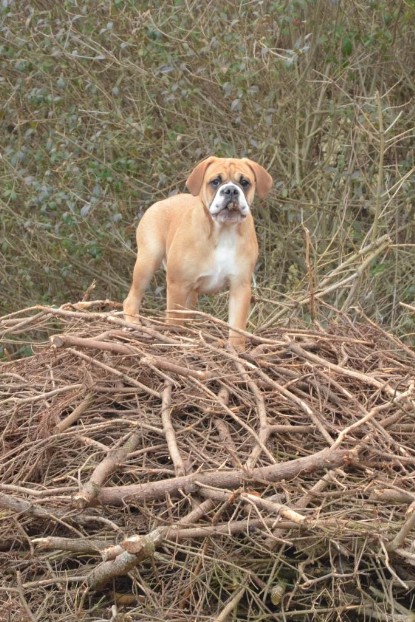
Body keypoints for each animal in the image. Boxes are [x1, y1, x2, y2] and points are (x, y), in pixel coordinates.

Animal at [123, 157, 272, 352]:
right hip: (147, 263)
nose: (231, 190)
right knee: (132, 298)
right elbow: (175, 319)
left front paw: (236, 348)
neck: (223, 231)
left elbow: (237, 325)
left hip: (190, 292)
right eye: (215, 181)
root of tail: (161, 202)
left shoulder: (240, 286)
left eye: (245, 182)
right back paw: (133, 324)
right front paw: (173, 338)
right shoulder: (178, 285)